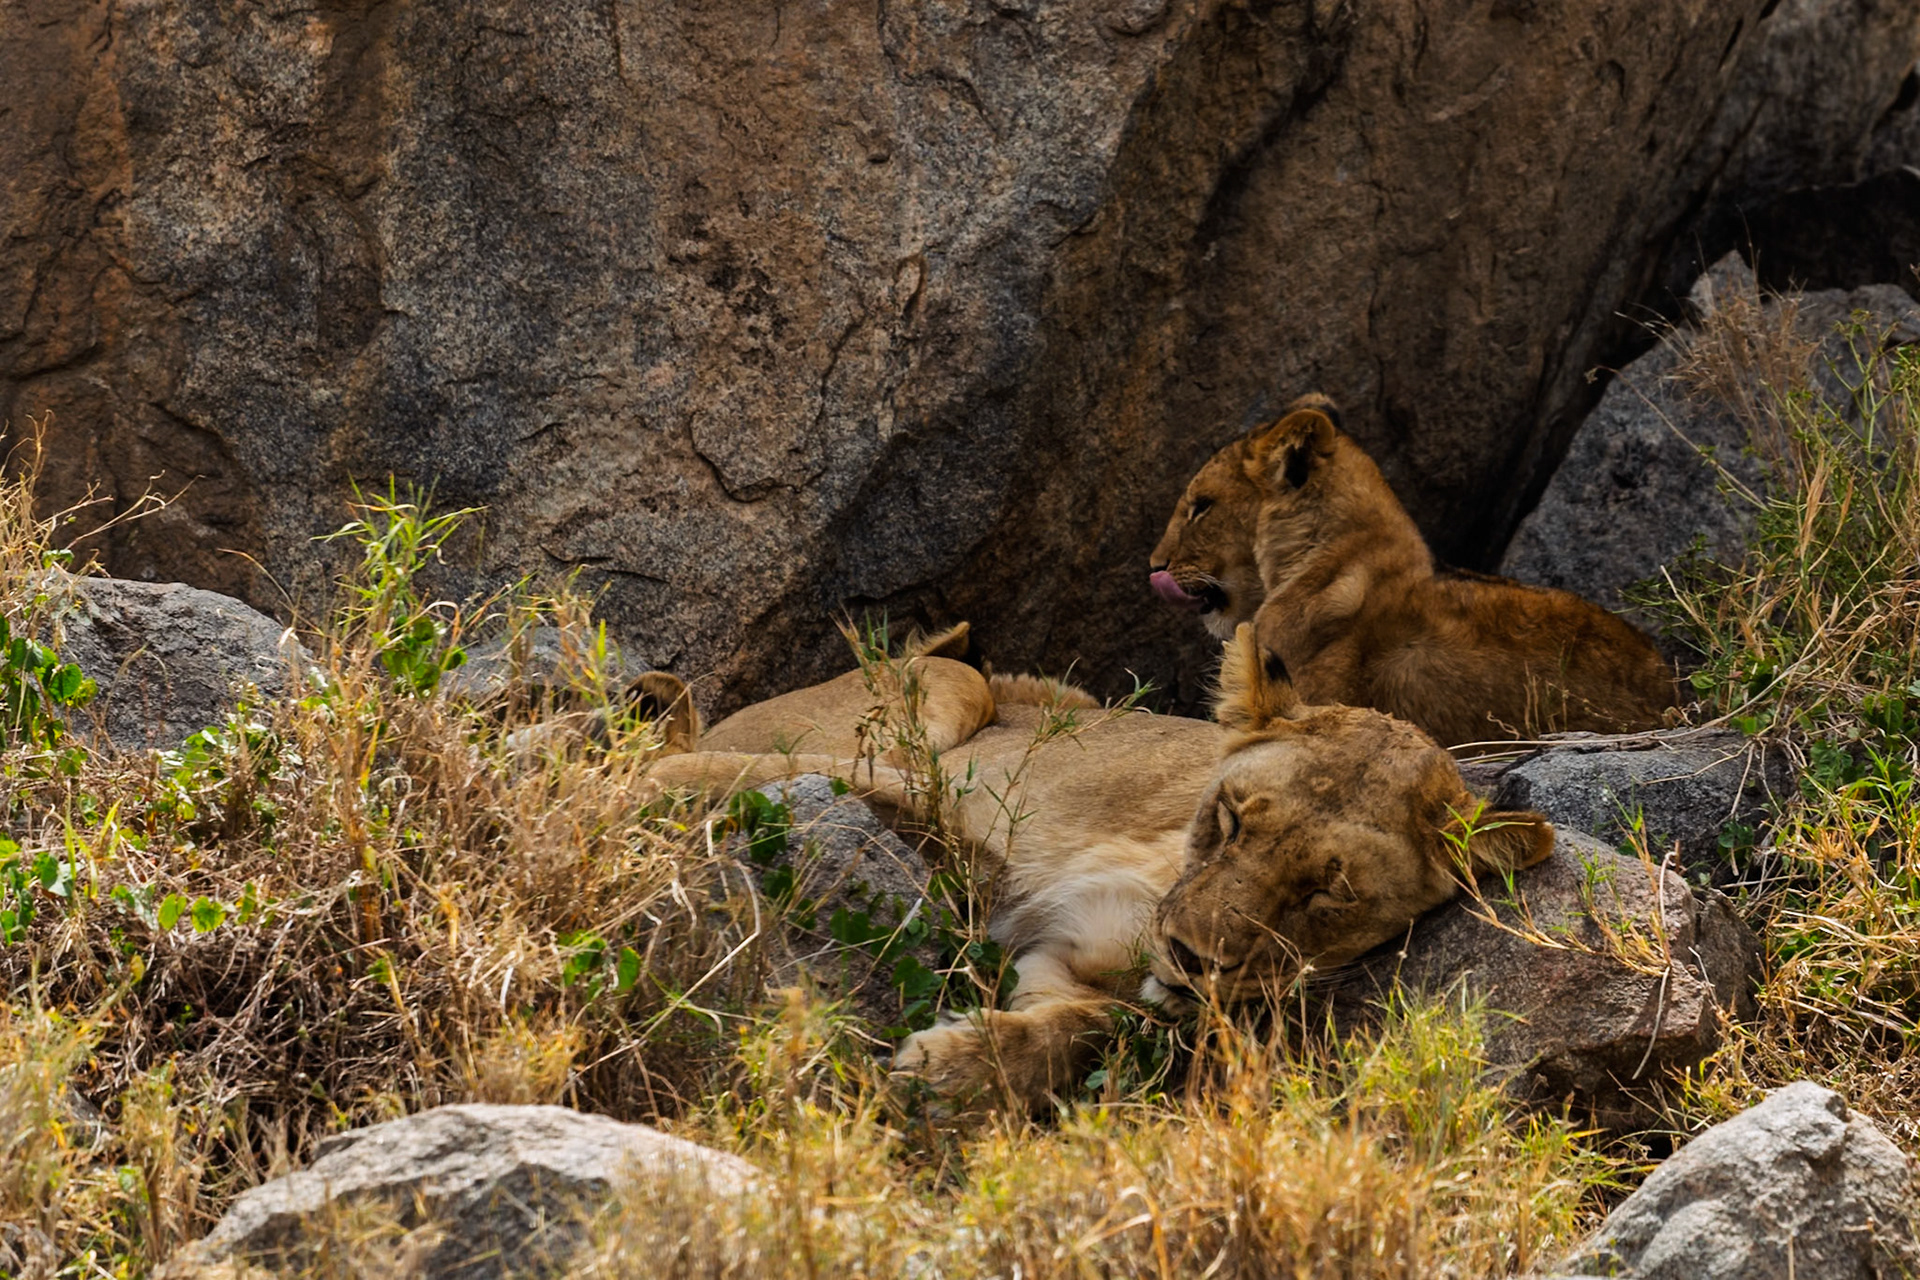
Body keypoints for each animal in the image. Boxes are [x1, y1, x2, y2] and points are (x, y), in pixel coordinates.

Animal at [645, 625, 1552, 1111]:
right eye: (1232, 817)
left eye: (1328, 892)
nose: (1190, 955)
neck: (1159, 872)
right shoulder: (952, 809)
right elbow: (757, 774)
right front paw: (620, 782)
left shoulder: (1063, 965)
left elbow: (1088, 1027)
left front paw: (952, 1069)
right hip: (954, 681)